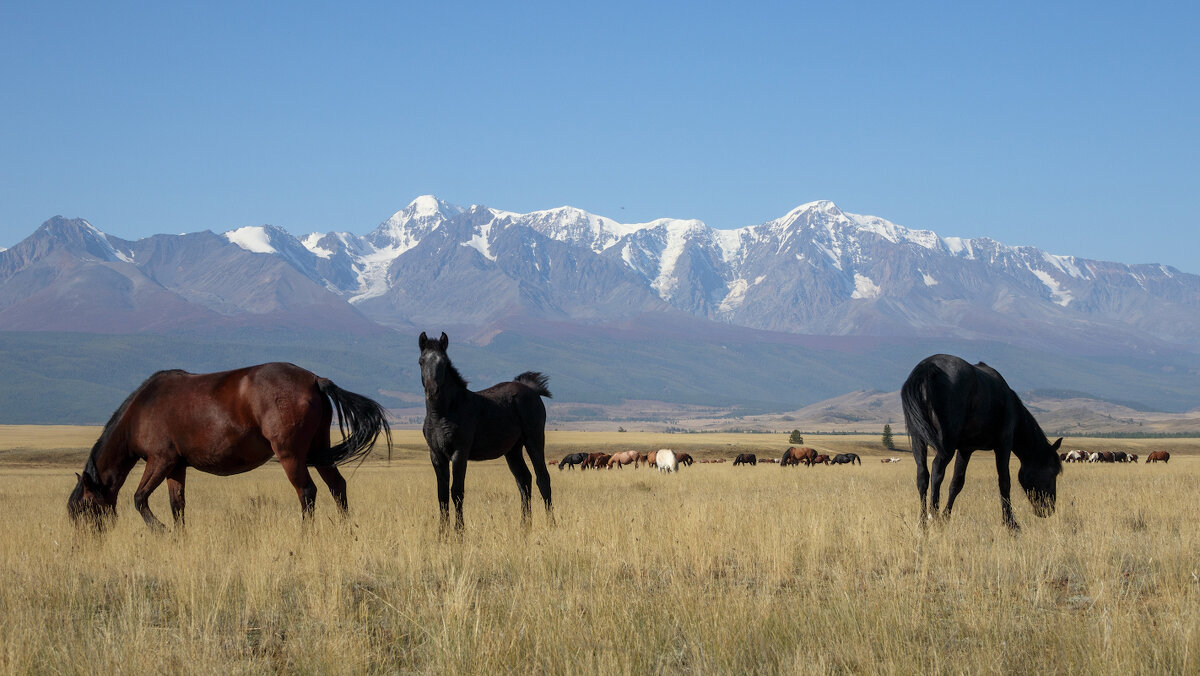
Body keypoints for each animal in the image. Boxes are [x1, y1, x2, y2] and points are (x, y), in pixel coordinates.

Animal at [69, 362, 393, 530]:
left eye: (83, 509)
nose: (87, 544)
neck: (143, 410)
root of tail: (314, 379)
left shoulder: (160, 460)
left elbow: (139, 499)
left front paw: (160, 531)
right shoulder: (176, 466)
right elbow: (177, 505)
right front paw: (178, 537)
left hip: (291, 455)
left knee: (307, 492)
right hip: (318, 450)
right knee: (337, 486)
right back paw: (344, 528)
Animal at [417, 333, 552, 535]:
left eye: (444, 362)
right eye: (421, 361)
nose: (432, 391)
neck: (442, 413)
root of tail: (531, 390)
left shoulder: (459, 453)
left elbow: (457, 492)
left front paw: (459, 532)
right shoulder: (436, 455)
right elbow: (441, 495)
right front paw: (442, 534)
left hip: (534, 441)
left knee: (542, 479)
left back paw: (552, 525)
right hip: (513, 450)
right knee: (524, 480)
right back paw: (524, 527)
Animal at [902, 353, 1060, 530]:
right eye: (1053, 472)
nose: (1049, 510)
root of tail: (927, 368)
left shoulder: (965, 449)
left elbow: (957, 483)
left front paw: (946, 517)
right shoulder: (1003, 445)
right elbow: (1004, 481)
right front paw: (1011, 523)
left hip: (918, 440)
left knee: (922, 474)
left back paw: (923, 522)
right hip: (946, 445)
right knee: (937, 471)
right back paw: (932, 516)